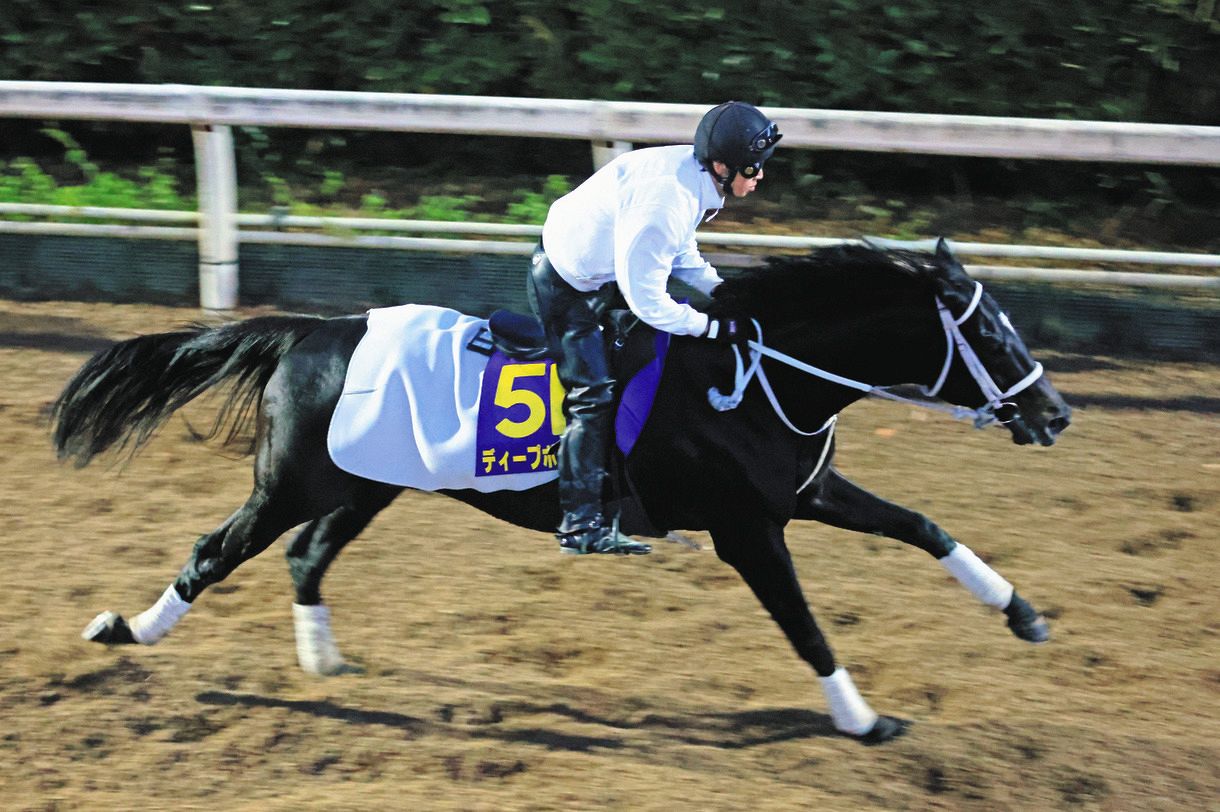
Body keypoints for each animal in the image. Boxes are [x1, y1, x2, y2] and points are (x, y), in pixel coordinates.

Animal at [52, 240, 1071, 745]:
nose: (1056, 413)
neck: (750, 374)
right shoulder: (747, 529)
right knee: (213, 552)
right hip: (291, 483)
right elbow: (805, 624)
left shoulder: (803, 494)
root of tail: (311, 330)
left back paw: (325, 662)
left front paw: (1024, 614)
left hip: (369, 484)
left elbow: (925, 526)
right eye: (993, 331)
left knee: (306, 555)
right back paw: (122, 631)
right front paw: (862, 719)